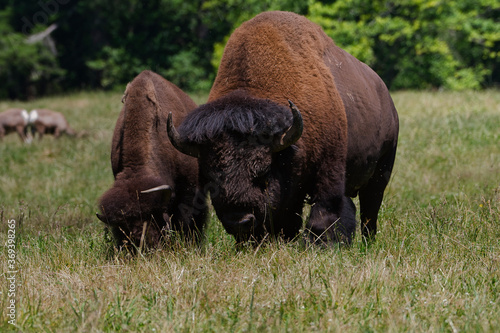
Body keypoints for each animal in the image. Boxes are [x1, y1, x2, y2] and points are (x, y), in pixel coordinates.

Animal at [168, 11, 398, 244]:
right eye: (211, 177)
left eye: (264, 173)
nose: (239, 221)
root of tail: (386, 96)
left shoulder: (329, 171)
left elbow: (325, 212)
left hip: (381, 172)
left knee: (370, 211)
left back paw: (368, 242)